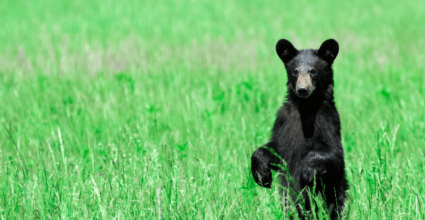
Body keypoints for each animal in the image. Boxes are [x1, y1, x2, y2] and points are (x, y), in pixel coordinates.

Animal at [250, 38, 346, 219]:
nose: (302, 89)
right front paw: (262, 175)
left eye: (313, 71)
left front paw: (307, 171)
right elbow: (274, 149)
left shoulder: (328, 121)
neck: (306, 108)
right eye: (295, 71)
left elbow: (333, 153)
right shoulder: (283, 122)